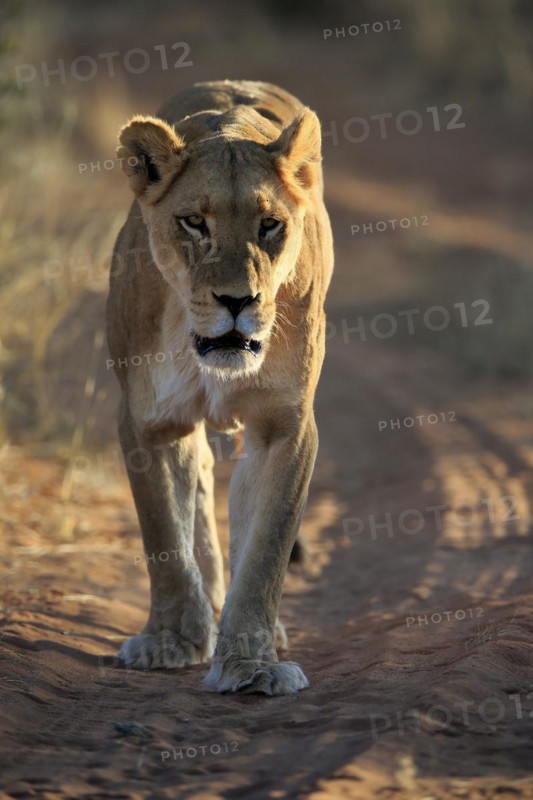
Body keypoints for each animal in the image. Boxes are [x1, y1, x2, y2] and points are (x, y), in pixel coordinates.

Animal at [106, 79, 333, 695]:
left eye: (269, 225)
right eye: (194, 222)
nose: (238, 301)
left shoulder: (283, 427)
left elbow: (265, 550)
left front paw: (251, 663)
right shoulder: (148, 421)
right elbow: (163, 534)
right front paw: (171, 640)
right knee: (202, 486)